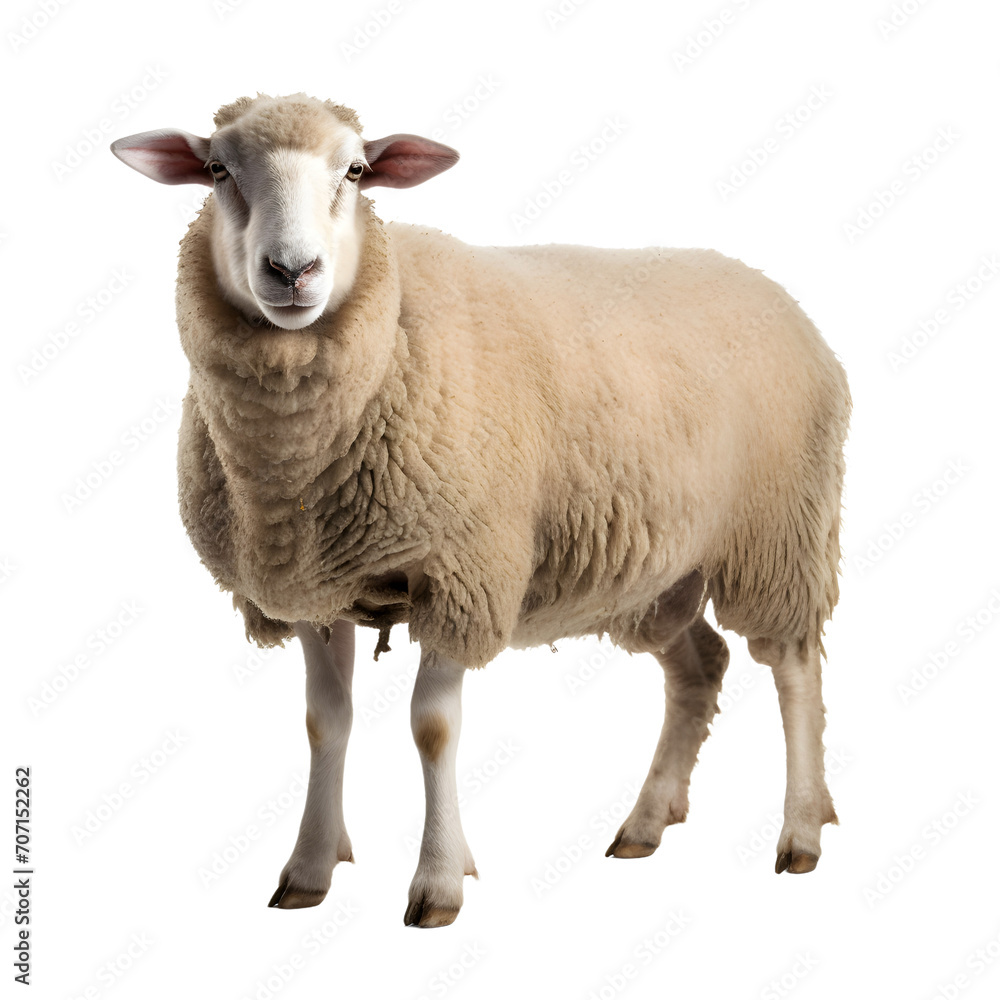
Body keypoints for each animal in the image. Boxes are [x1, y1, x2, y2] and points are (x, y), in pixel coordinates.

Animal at [110, 92, 850, 928]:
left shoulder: (462, 573)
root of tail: (777, 295)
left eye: (355, 170)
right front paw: (309, 869)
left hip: (779, 531)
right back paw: (646, 823)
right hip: (659, 573)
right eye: (216, 169)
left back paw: (800, 832)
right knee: (700, 666)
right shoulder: (313, 591)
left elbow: (433, 728)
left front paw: (437, 882)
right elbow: (325, 722)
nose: (293, 271)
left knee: (793, 667)